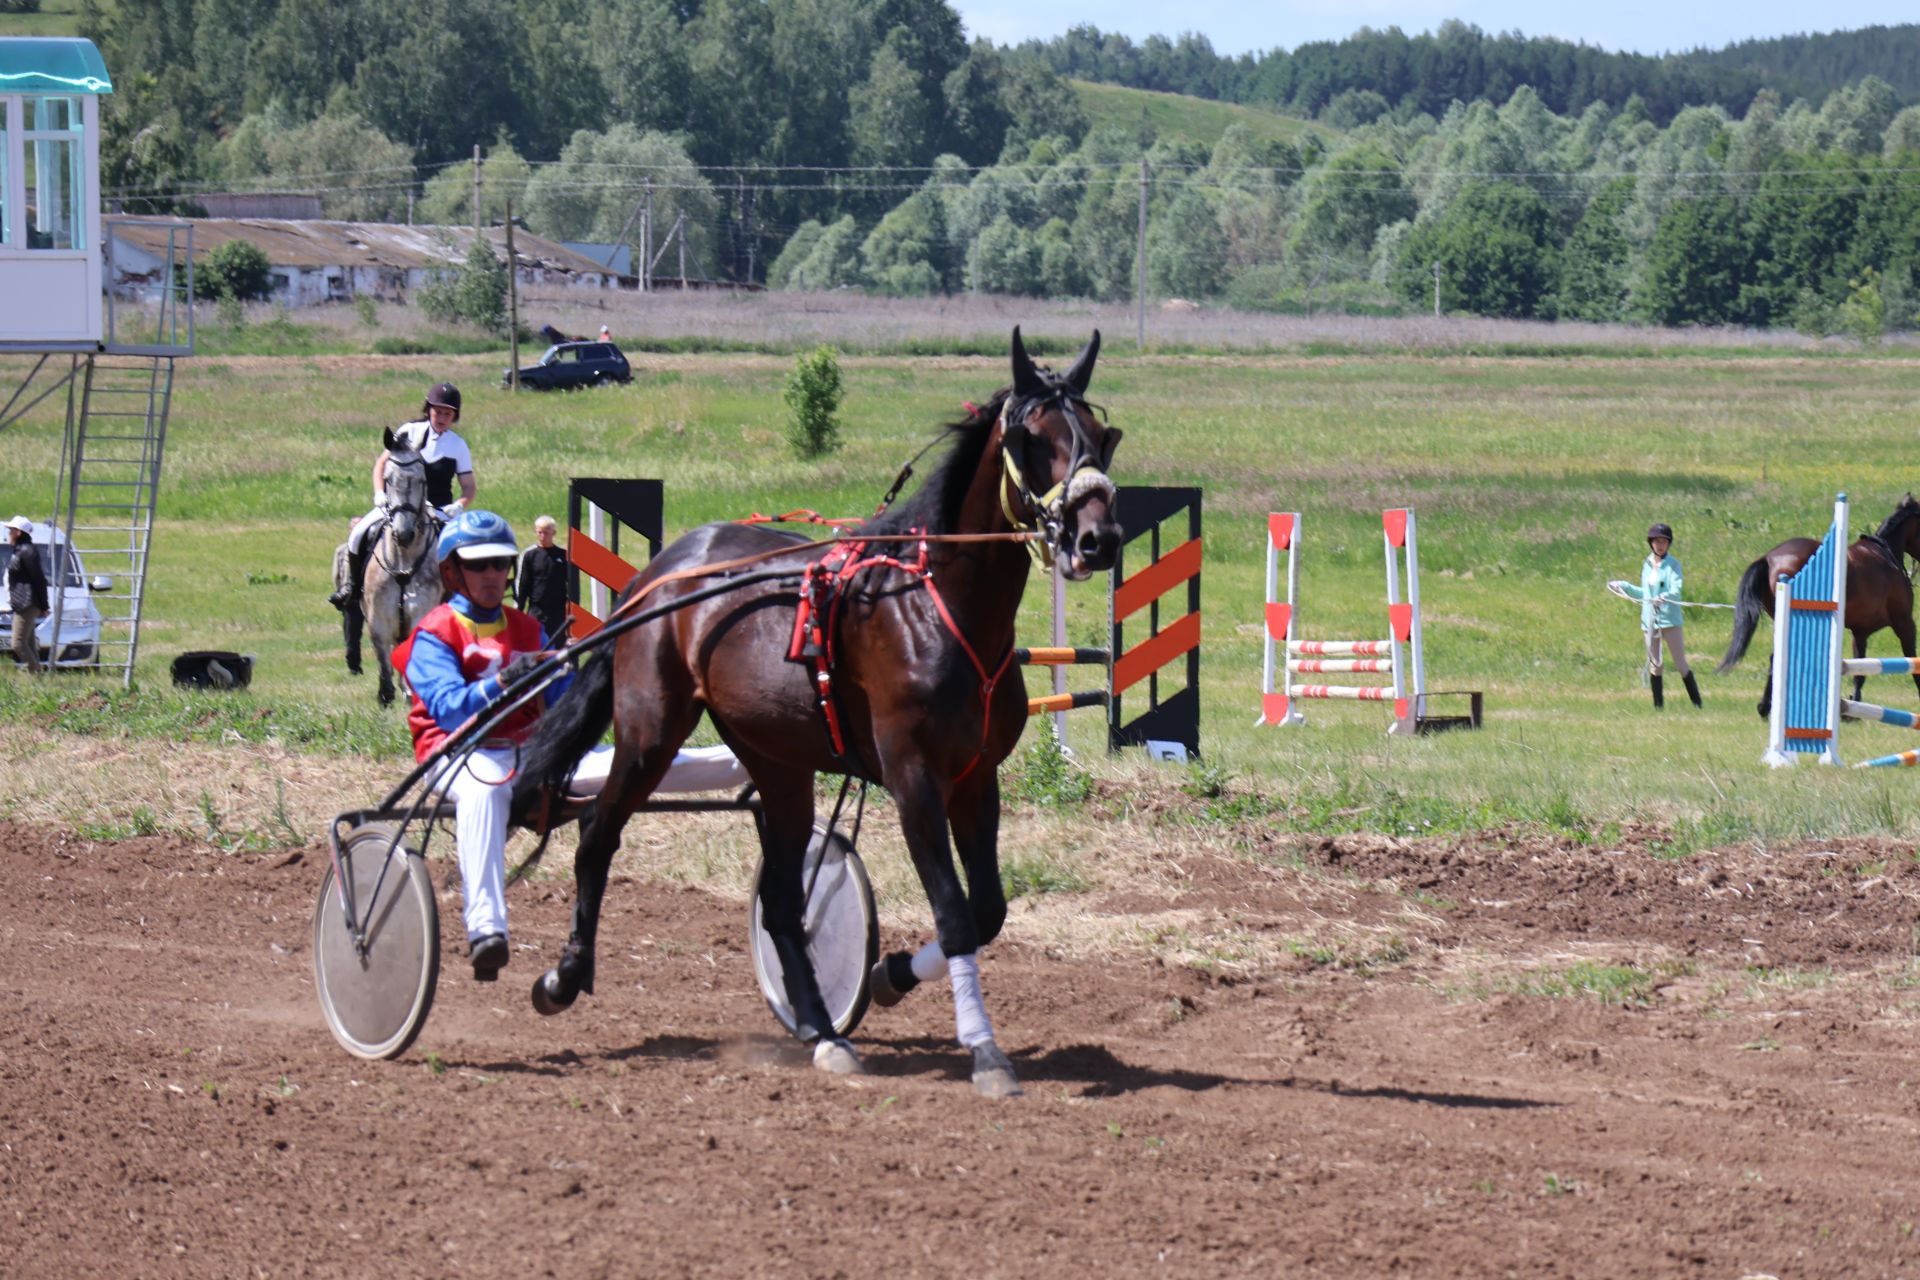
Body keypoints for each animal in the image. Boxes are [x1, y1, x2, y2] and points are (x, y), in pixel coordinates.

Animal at [351, 435, 443, 706]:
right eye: (388, 479)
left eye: (423, 480)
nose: (403, 533)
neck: (403, 559)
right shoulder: (378, 619)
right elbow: (384, 660)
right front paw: (386, 695)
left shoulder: (421, 612)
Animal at [506, 330, 1121, 1105]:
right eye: (1031, 438)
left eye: (1102, 435)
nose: (1099, 537)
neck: (933, 608)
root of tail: (658, 574)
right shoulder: (914, 779)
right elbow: (954, 914)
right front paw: (984, 1051)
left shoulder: (976, 779)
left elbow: (986, 912)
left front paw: (887, 975)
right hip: (650, 730)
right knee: (596, 835)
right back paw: (564, 976)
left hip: (778, 762)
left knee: (777, 900)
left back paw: (821, 1030)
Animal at [1720, 495, 1920, 721]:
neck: (1886, 554)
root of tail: (1769, 559)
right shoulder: (1904, 624)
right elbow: (1912, 662)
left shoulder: (1860, 632)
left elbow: (1859, 672)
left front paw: (1852, 710)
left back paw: (1765, 707)